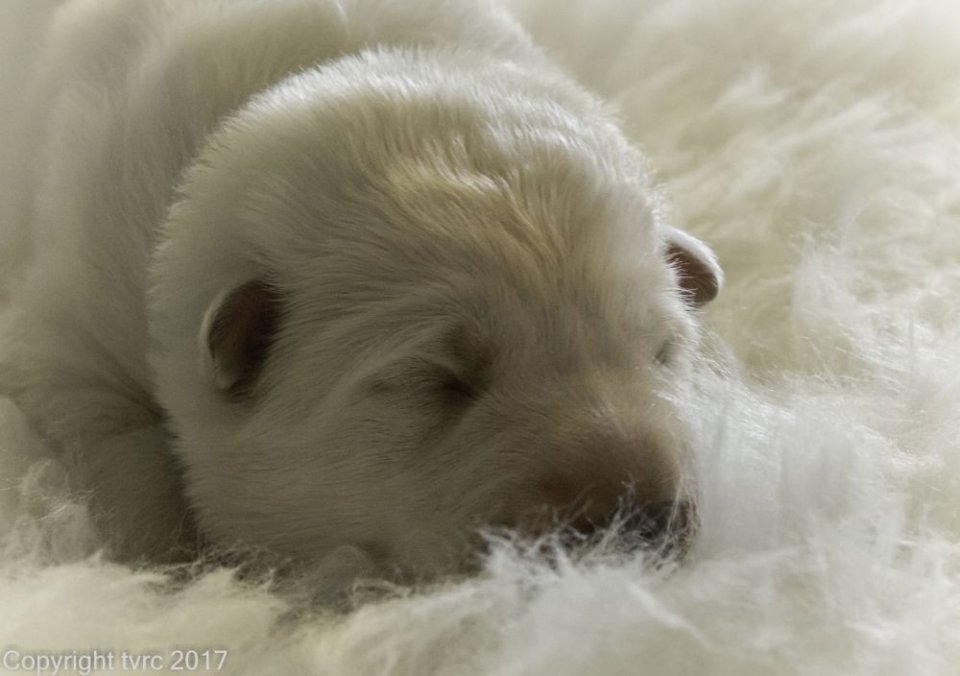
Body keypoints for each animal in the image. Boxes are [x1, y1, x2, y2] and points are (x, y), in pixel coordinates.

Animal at [0, 0, 720, 580]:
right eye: (439, 381)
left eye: (659, 352)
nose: (638, 518)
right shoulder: (73, 334)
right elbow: (126, 454)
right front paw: (170, 569)